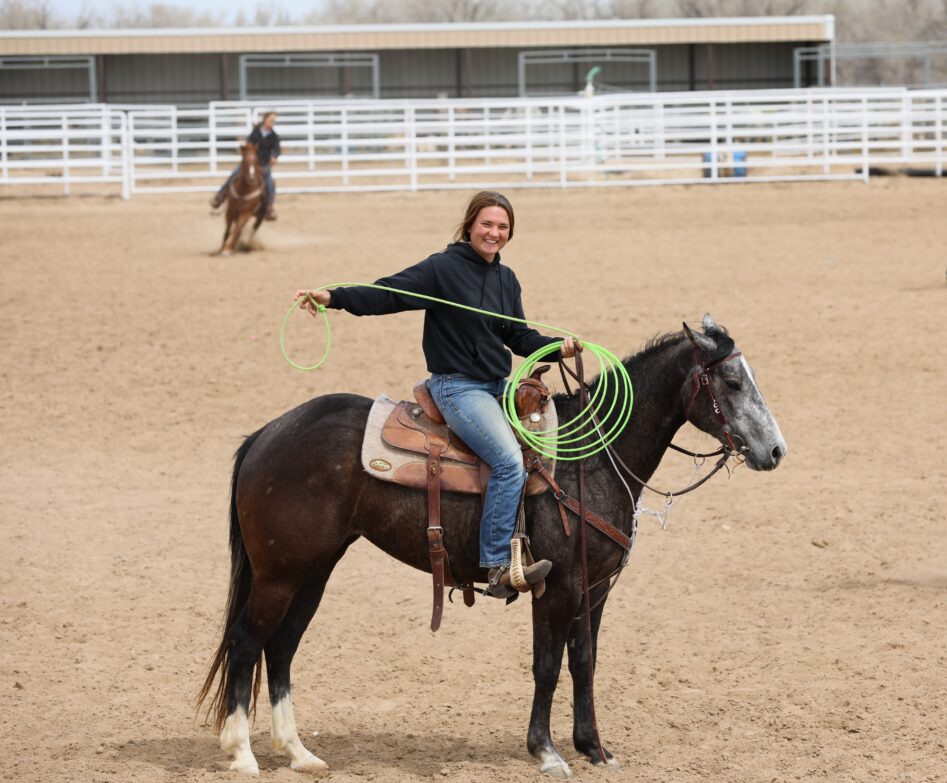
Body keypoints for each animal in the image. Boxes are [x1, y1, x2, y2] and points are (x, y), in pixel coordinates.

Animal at [197, 314, 787, 778]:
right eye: (732, 381)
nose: (776, 450)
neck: (590, 459)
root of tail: (266, 433)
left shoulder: (595, 589)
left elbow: (585, 662)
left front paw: (594, 748)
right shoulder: (558, 586)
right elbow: (547, 664)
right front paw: (546, 752)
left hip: (313, 571)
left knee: (281, 646)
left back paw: (298, 753)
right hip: (278, 573)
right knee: (248, 641)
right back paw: (243, 754)